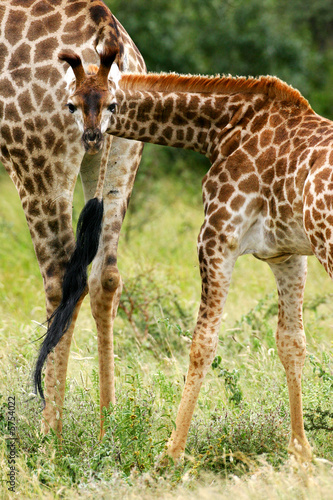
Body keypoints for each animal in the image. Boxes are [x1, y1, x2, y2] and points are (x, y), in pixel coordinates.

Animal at [0, 0, 145, 438]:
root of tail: (108, 30)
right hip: (120, 153)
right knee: (106, 274)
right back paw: (108, 424)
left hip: (35, 160)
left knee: (61, 275)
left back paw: (51, 433)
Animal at [52, 47, 333, 460]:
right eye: (71, 104)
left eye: (113, 104)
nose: (92, 138)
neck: (222, 130)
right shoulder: (286, 254)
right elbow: (291, 342)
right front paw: (301, 452)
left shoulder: (217, 233)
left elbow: (202, 342)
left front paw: (171, 453)